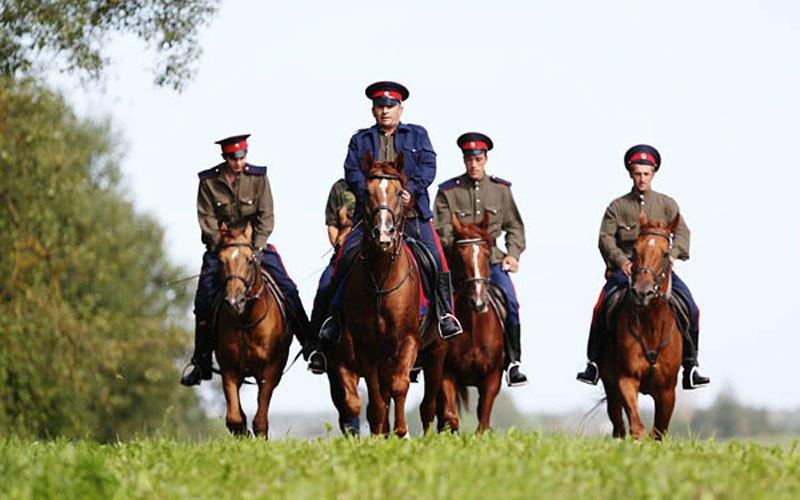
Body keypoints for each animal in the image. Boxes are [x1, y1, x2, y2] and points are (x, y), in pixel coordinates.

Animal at [214, 223, 292, 438]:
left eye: (249, 260)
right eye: (221, 261)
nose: (235, 301)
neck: (246, 321)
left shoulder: (270, 370)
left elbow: (260, 418)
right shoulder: (229, 368)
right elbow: (234, 418)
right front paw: (243, 432)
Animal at [326, 152, 450, 438]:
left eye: (399, 192)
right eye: (367, 192)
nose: (383, 234)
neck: (382, 278)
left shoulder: (408, 340)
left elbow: (399, 386)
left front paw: (402, 432)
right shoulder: (366, 348)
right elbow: (375, 400)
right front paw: (379, 433)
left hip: (436, 351)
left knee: (428, 403)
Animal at [438, 215, 506, 434]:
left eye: (486, 253)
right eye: (460, 256)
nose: (477, 302)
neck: (474, 331)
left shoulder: (492, 379)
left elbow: (483, 423)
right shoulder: (447, 374)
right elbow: (451, 417)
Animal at [600, 213, 680, 440]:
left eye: (665, 253)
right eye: (635, 250)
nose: (642, 292)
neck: (650, 325)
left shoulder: (667, 391)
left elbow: (659, 431)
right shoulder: (626, 380)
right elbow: (637, 426)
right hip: (609, 385)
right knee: (618, 425)